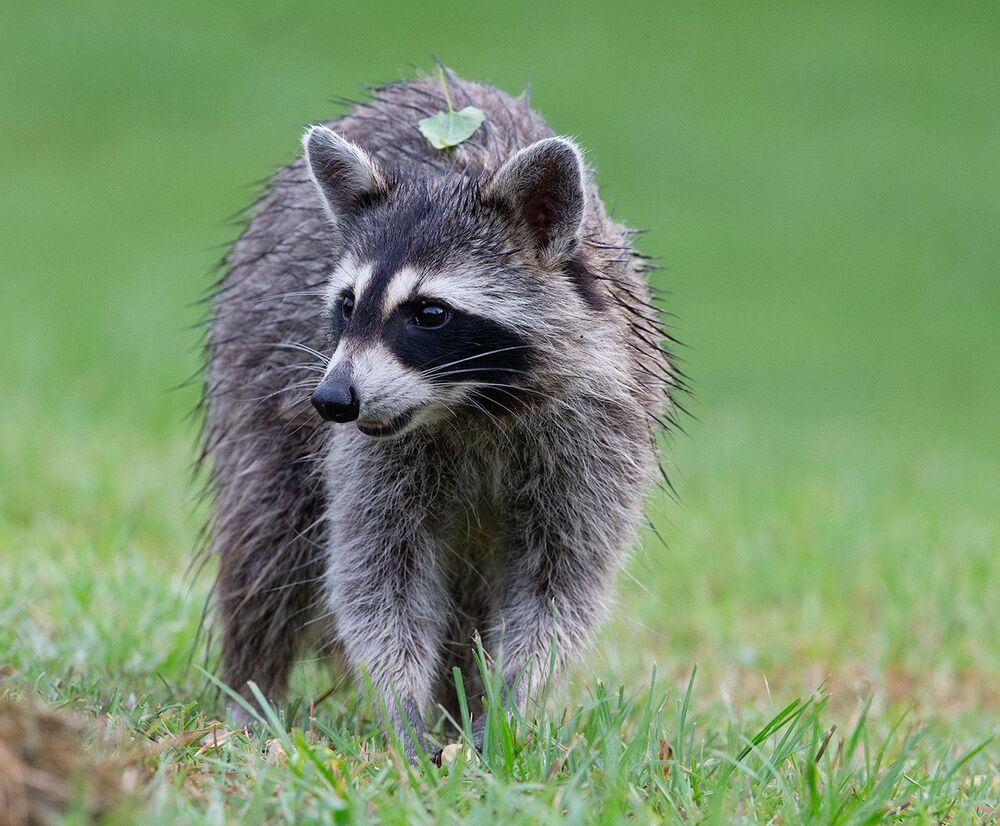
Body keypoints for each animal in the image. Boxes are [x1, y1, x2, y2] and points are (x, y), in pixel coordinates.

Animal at [201, 72, 678, 758]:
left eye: (429, 314)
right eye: (347, 305)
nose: (333, 400)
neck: (472, 402)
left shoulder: (598, 428)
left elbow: (559, 584)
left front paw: (506, 704)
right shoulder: (368, 448)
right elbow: (378, 575)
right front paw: (401, 707)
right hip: (257, 369)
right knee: (266, 536)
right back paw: (249, 688)